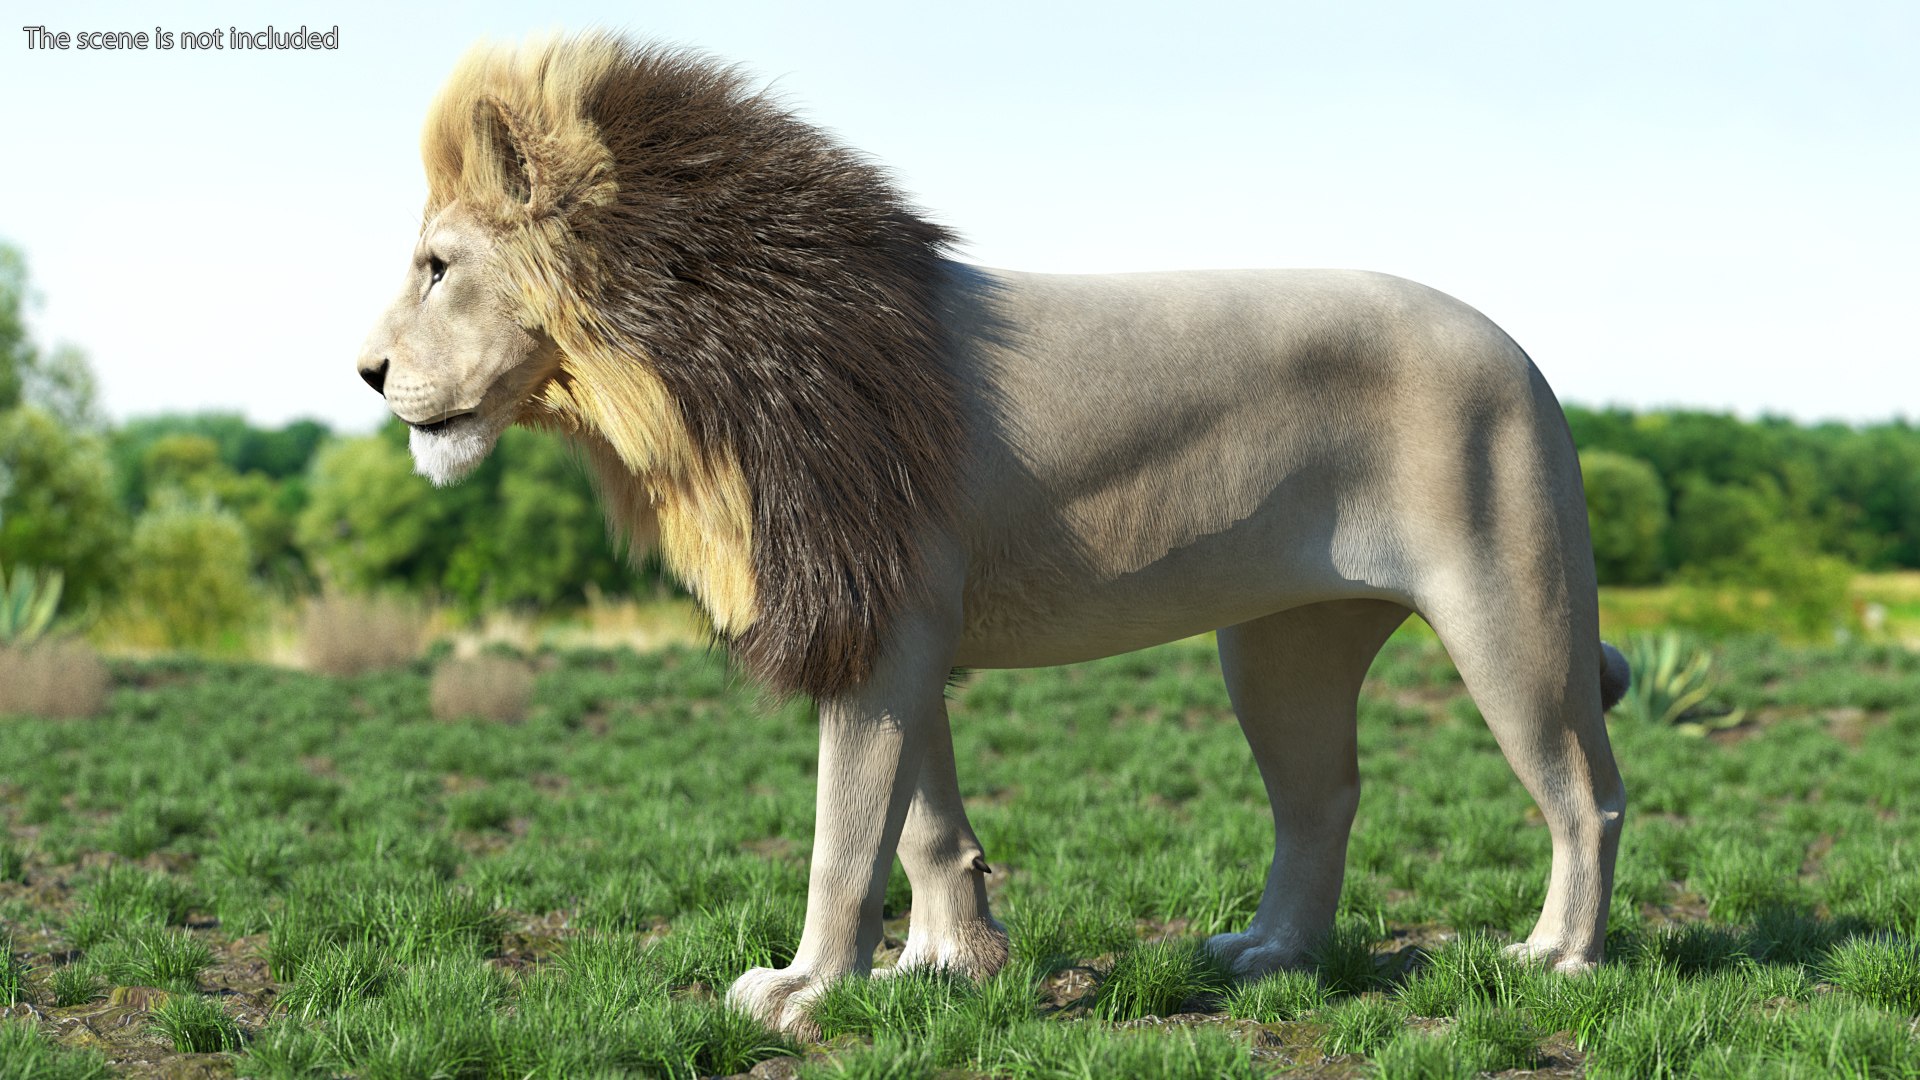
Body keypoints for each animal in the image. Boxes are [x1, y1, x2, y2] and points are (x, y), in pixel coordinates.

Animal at [357, 33, 1630, 1033]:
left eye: (438, 267)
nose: (366, 372)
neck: (689, 371)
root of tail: (1522, 353)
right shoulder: (891, 619)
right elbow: (926, 823)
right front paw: (948, 964)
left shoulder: (877, 621)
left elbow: (845, 834)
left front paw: (809, 988)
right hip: (1283, 643)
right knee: (1322, 799)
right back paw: (1271, 958)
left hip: (1507, 612)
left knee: (1586, 792)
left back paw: (1555, 960)